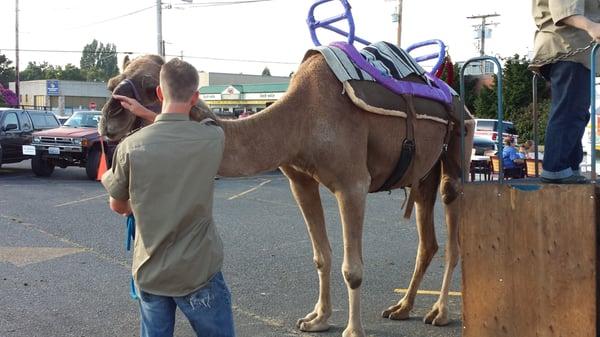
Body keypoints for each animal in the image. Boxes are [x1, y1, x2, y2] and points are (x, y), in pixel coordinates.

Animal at [98, 52, 474, 336]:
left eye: (150, 87)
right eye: (112, 84)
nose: (108, 118)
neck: (301, 118)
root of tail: (459, 100)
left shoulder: (353, 183)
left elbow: (352, 268)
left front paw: (352, 330)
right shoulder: (299, 181)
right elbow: (321, 256)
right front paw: (317, 319)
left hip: (459, 147)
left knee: (453, 228)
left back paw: (439, 312)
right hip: (422, 174)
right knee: (428, 241)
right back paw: (402, 307)